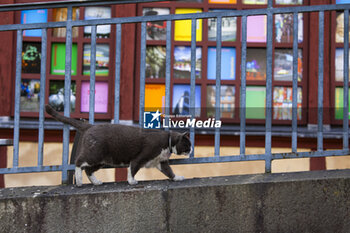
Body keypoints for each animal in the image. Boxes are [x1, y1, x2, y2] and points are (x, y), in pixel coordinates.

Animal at [45, 104, 193, 187]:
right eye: (188, 145)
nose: (191, 150)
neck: (167, 142)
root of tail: (90, 126)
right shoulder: (141, 156)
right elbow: (132, 169)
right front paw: (132, 181)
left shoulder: (161, 161)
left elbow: (169, 171)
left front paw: (177, 178)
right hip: (94, 153)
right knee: (79, 162)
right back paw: (80, 181)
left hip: (101, 160)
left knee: (89, 170)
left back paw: (96, 182)